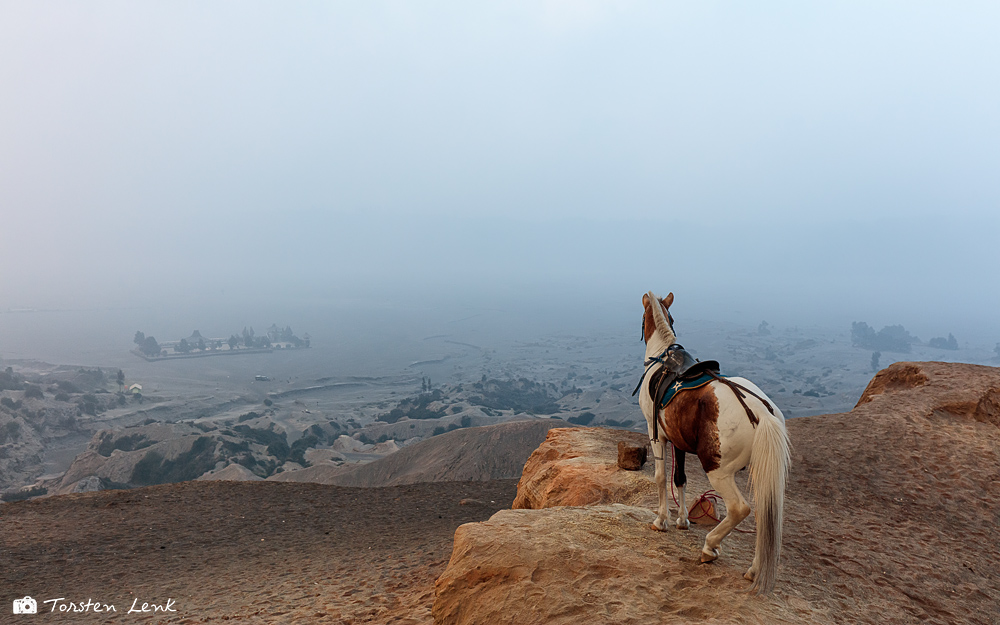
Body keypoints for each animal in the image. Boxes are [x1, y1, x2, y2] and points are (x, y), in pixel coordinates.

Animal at [640, 290, 788, 592]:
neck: (662, 358)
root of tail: (762, 411)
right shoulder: (678, 440)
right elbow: (680, 479)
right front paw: (683, 520)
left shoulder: (656, 432)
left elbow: (660, 477)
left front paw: (661, 520)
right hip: (760, 469)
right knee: (764, 515)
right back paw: (754, 569)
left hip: (718, 471)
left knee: (739, 508)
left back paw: (710, 547)